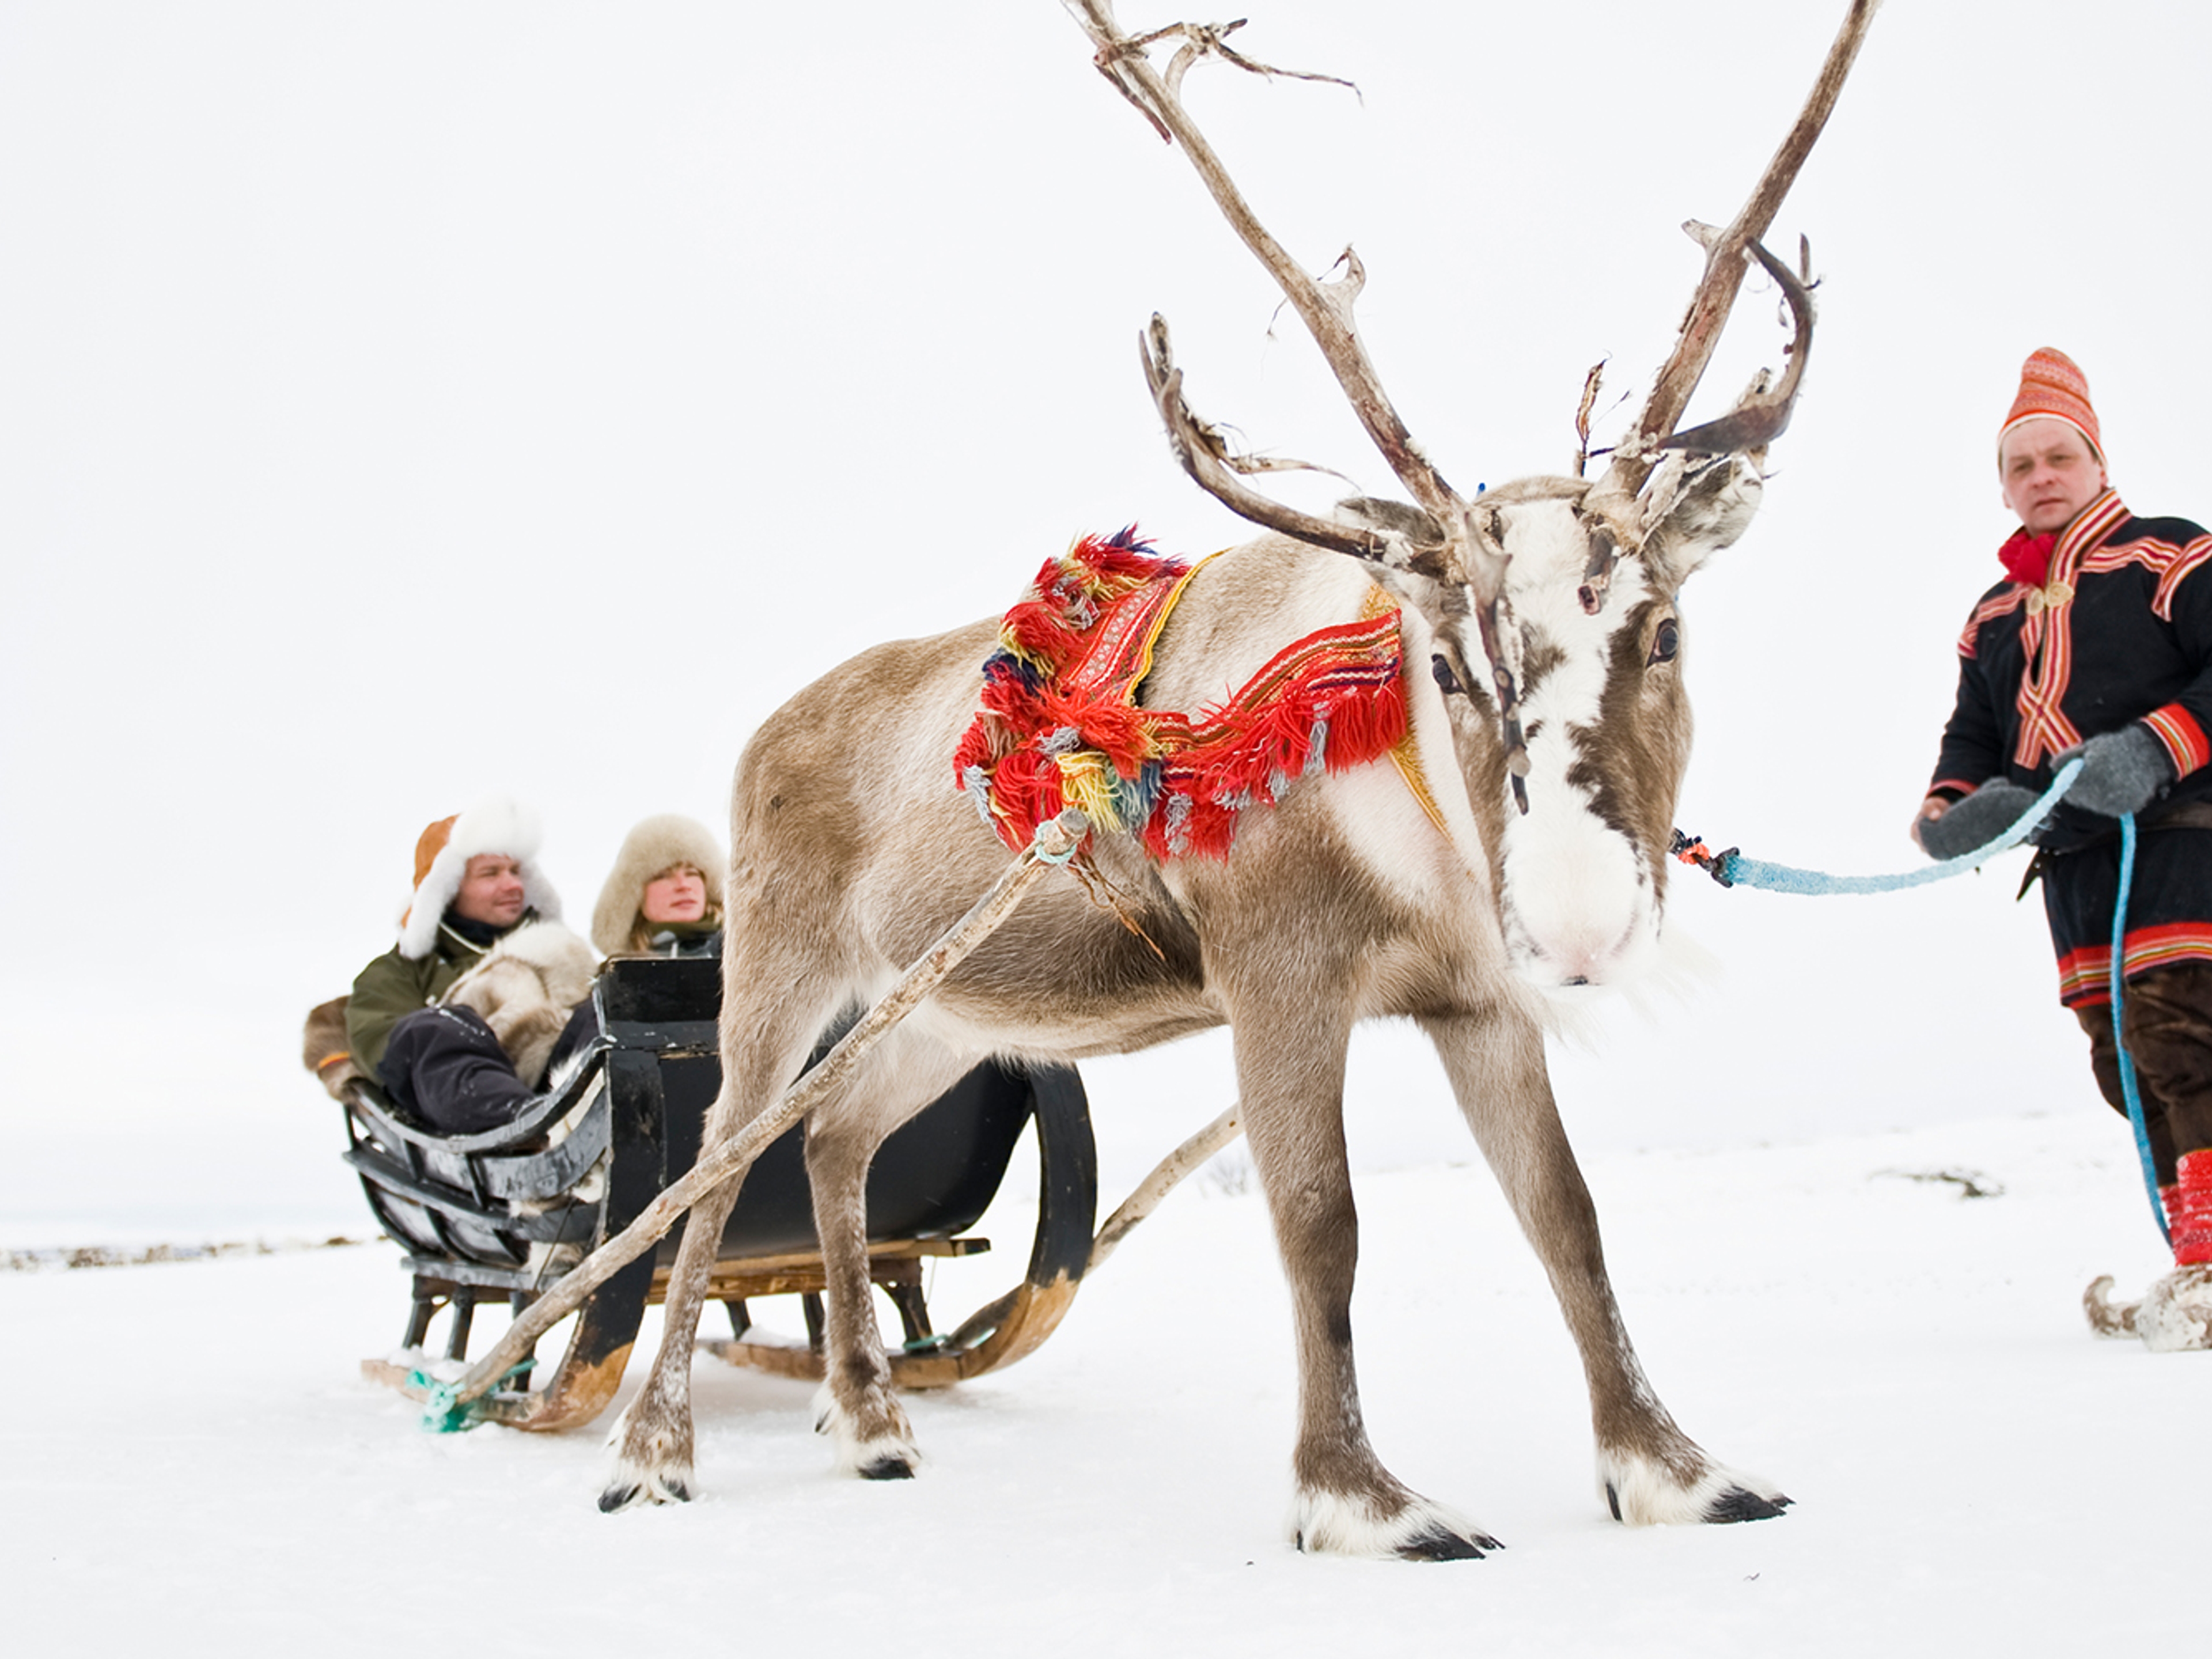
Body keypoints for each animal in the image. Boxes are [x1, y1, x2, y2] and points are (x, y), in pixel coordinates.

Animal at [595, 0, 1877, 1559]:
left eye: (1664, 629)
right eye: (1448, 662)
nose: (1580, 925)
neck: (1413, 834)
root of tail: (767, 730)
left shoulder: (1476, 998)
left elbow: (1565, 1216)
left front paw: (1674, 1469)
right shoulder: (1279, 976)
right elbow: (1319, 1222)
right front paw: (1363, 1501)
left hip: (945, 1010)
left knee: (836, 1144)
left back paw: (873, 1418)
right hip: (781, 966)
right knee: (720, 1167)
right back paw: (654, 1451)